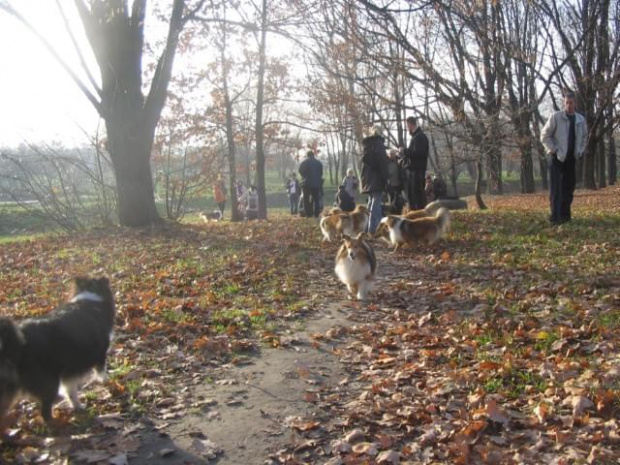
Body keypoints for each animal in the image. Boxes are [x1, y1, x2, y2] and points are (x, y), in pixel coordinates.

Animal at [0, 276, 115, 424]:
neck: (90, 296)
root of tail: (18, 344)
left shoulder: (68, 372)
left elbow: (70, 392)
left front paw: (78, 406)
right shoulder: (100, 353)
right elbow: (101, 371)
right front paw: (106, 381)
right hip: (50, 382)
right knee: (45, 412)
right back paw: (57, 423)